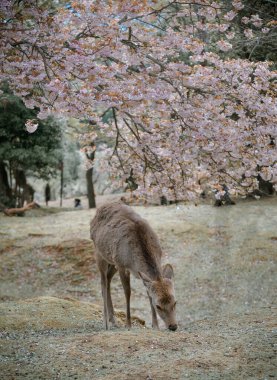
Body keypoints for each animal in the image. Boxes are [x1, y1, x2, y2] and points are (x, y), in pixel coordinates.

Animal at [90, 202, 177, 330]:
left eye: (175, 302)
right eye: (158, 306)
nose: (173, 326)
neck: (134, 263)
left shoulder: (141, 273)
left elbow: (148, 293)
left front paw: (155, 325)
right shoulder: (122, 265)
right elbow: (127, 292)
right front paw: (128, 324)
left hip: (112, 262)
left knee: (108, 279)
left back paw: (113, 320)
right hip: (99, 253)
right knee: (103, 282)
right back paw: (106, 323)